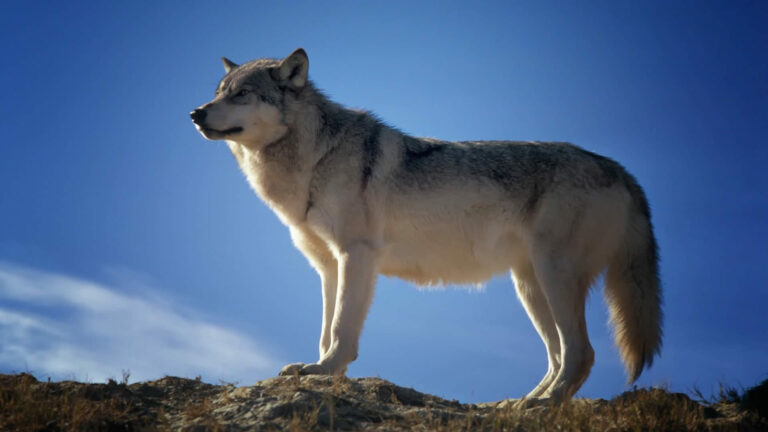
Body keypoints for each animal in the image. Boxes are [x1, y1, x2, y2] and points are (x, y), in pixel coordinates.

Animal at [190, 49, 660, 404]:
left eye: (243, 94)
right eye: (219, 93)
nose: (195, 113)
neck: (316, 158)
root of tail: (620, 169)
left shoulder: (356, 255)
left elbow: (341, 328)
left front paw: (326, 371)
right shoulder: (328, 267)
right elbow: (325, 330)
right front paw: (321, 370)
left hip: (553, 277)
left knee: (581, 353)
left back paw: (543, 406)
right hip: (529, 287)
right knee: (559, 356)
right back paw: (519, 403)